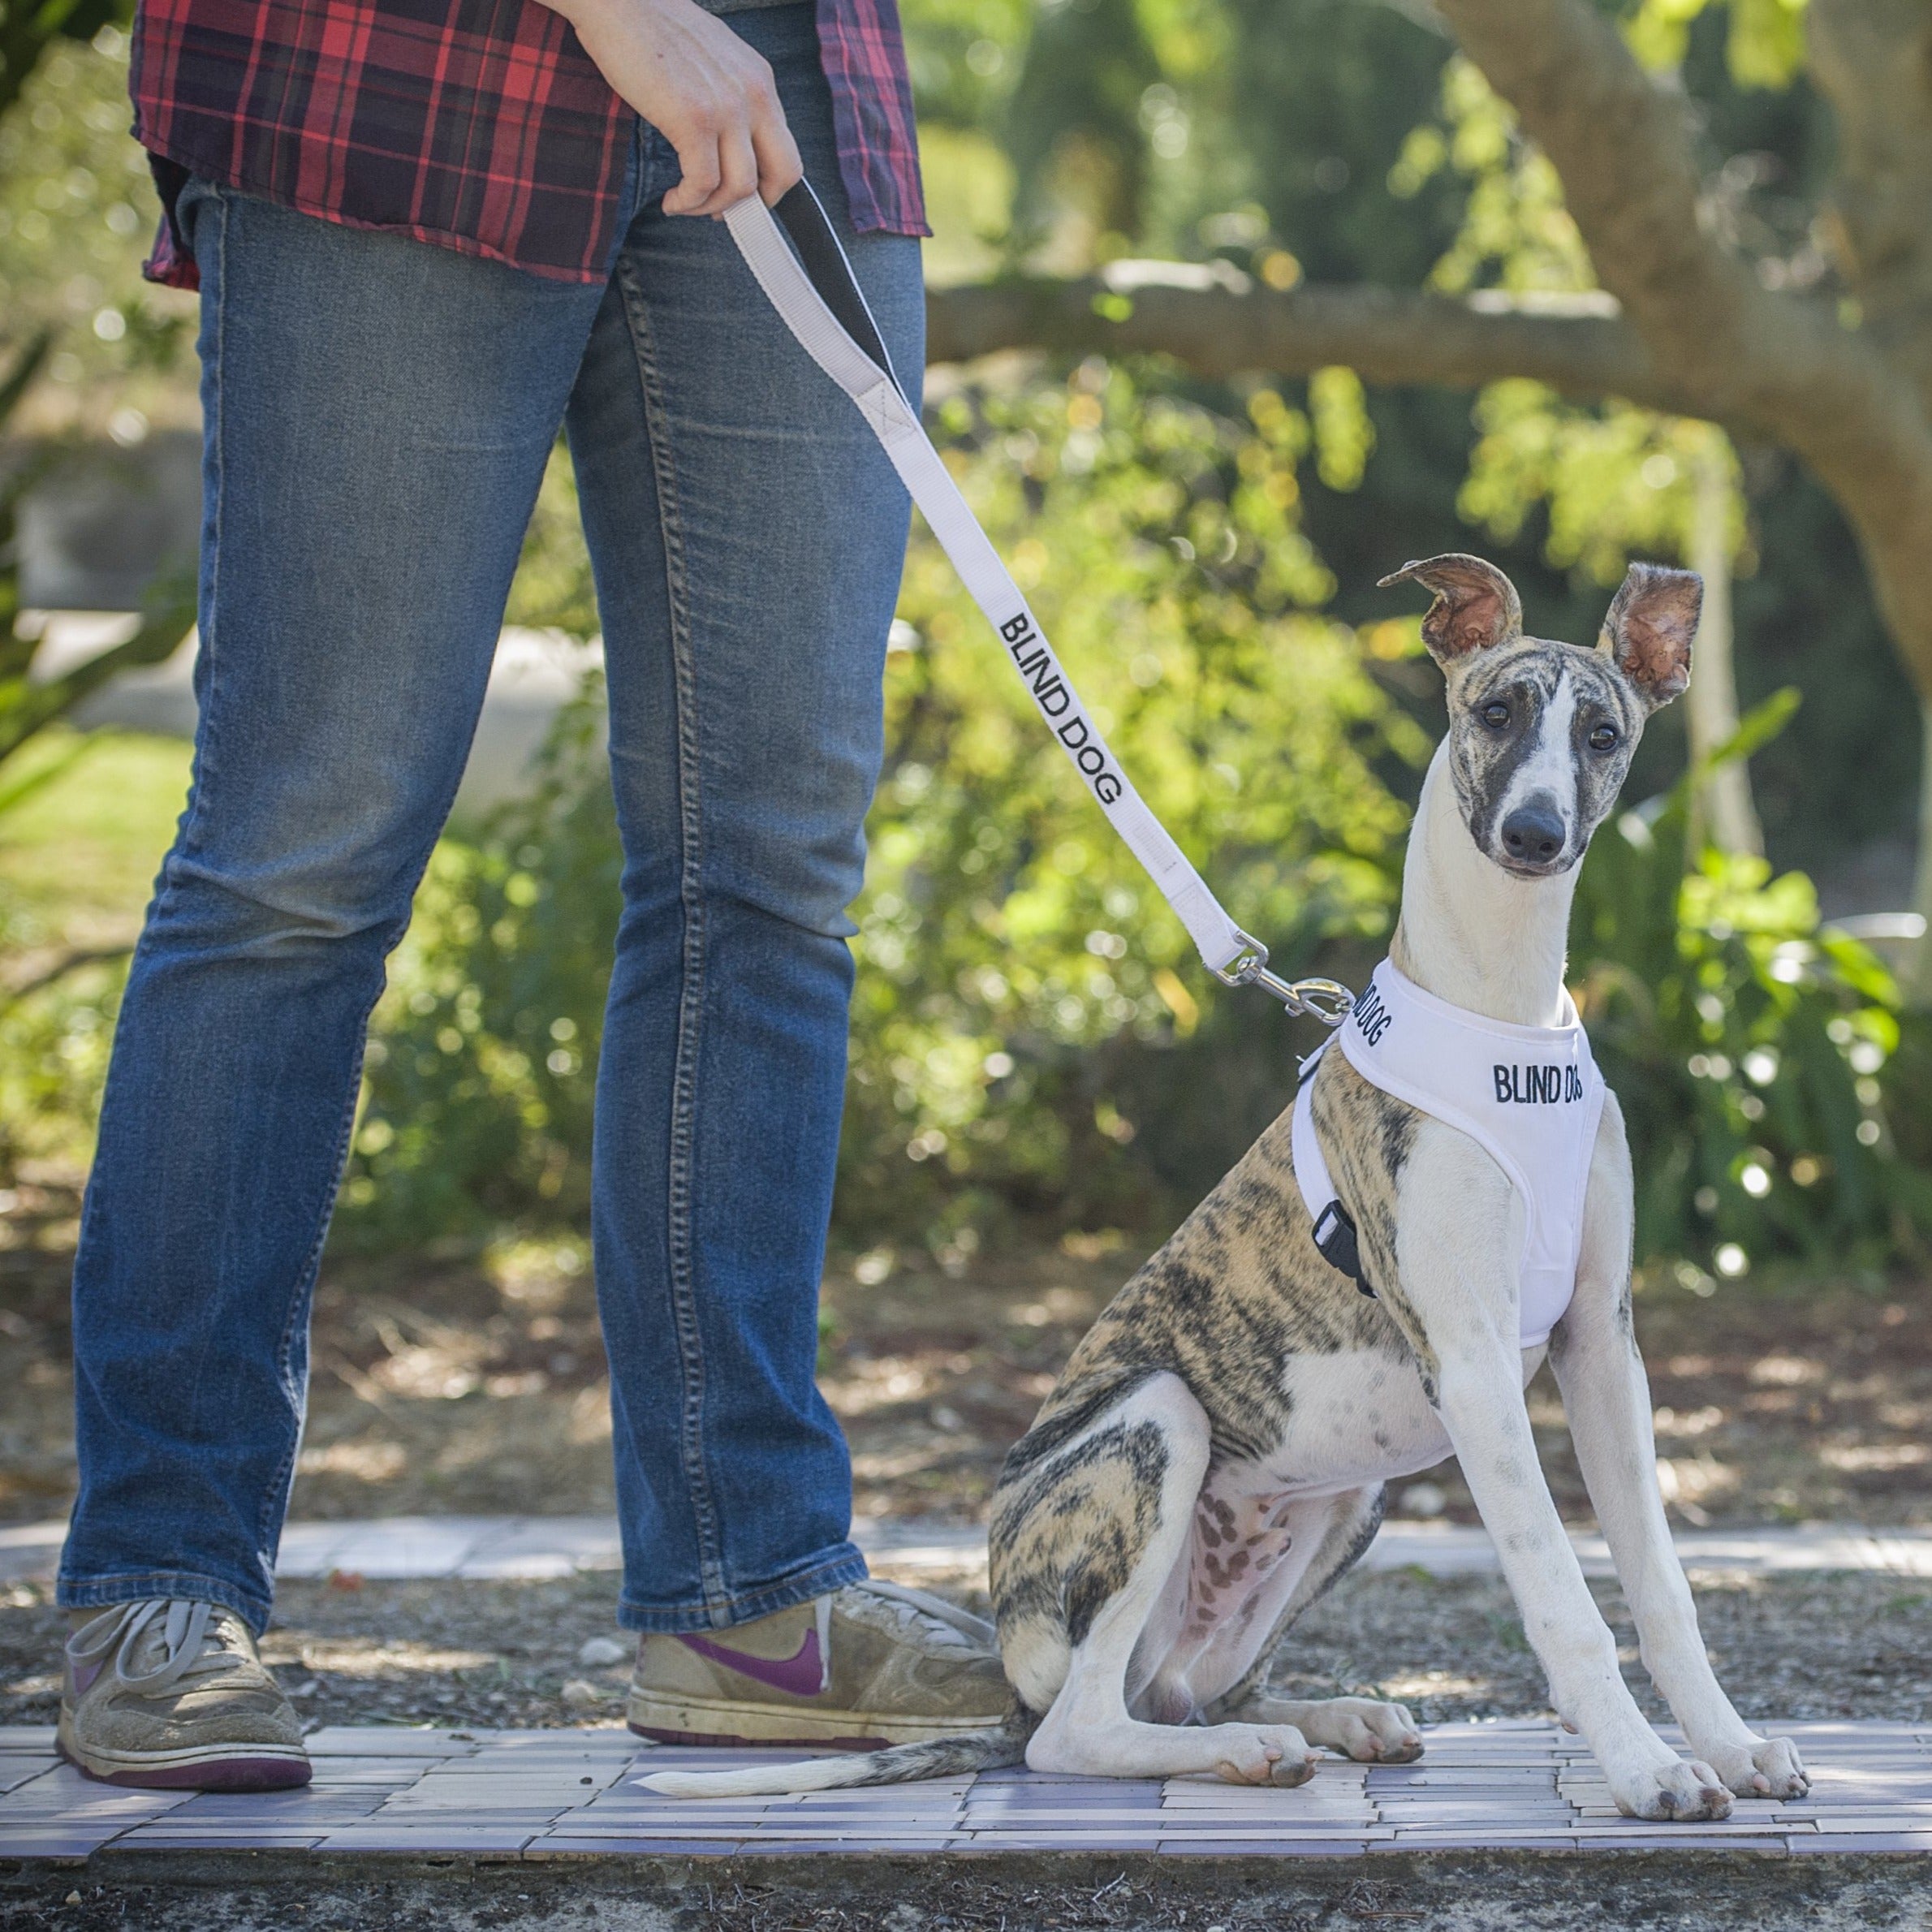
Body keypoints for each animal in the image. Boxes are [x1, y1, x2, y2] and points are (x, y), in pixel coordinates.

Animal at [649, 552, 1808, 1816]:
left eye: (1603, 734)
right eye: (1496, 712)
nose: (1536, 834)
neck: (1502, 1008)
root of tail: (1011, 1678)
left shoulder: (1602, 1345)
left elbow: (1661, 1584)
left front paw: (1731, 1744)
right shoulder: (1471, 1364)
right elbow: (1562, 1594)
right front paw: (1648, 1769)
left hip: (1349, 1503)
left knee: (1183, 1689)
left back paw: (1327, 1718)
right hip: (1156, 1424)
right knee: (1082, 1728)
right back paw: (1246, 1747)